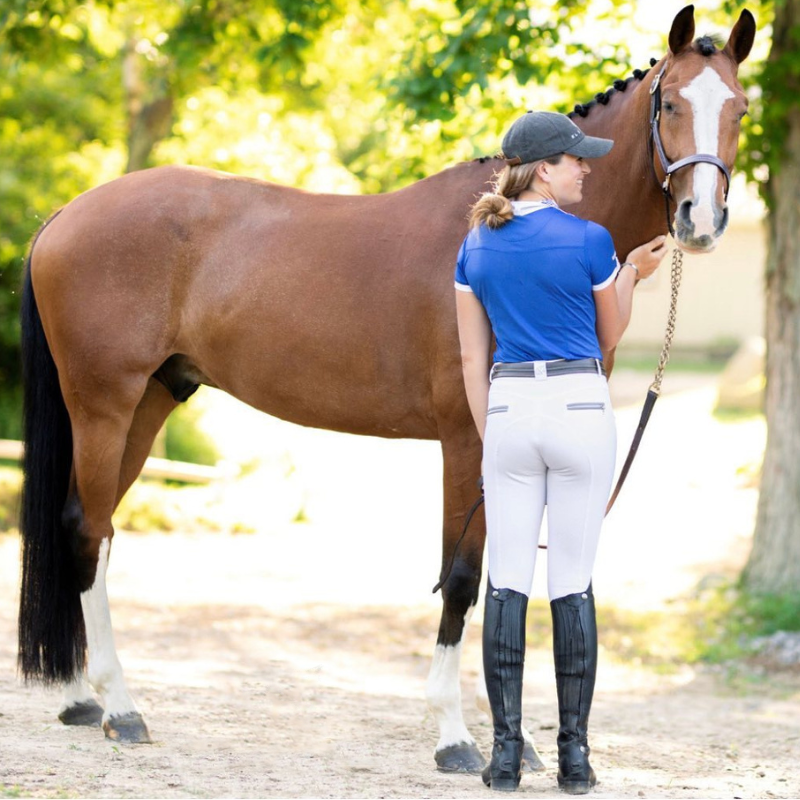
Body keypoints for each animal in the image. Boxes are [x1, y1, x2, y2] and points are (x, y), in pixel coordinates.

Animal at [18, 3, 756, 772]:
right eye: (671, 104)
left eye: (739, 108)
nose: (700, 221)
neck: (513, 225)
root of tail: (63, 218)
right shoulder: (467, 440)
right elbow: (461, 576)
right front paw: (455, 738)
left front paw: (512, 744)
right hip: (104, 405)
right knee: (87, 530)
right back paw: (120, 708)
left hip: (151, 400)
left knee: (92, 530)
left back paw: (82, 700)